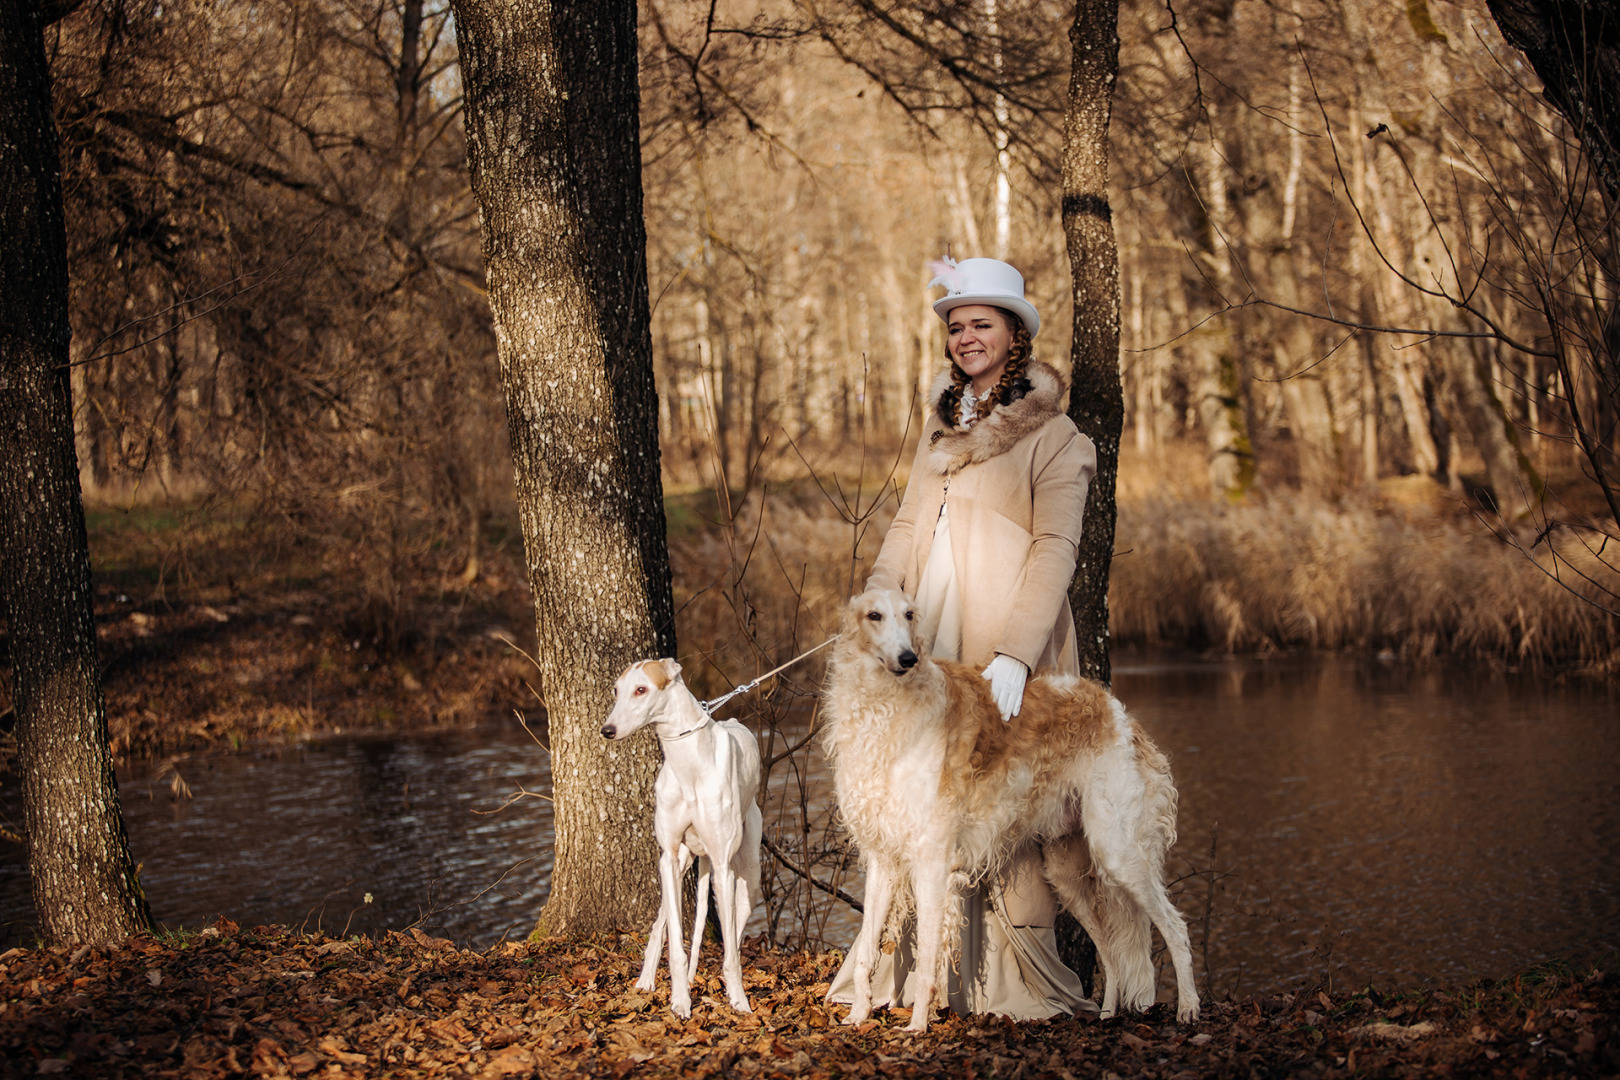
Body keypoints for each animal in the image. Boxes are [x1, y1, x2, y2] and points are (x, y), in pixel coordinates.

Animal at [602, 660, 764, 1023]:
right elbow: (675, 942)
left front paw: (739, 1002)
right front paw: (680, 1000)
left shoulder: (722, 864)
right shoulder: (670, 855)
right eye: (616, 690)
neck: (689, 761)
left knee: (735, 929)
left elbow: (730, 952)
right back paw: (647, 980)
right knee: (662, 921)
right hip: (680, 864)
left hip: (746, 875)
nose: (607, 730)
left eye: (642, 689)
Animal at [829, 586, 1198, 1036]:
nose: (908, 658)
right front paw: (858, 1013)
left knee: (1175, 927)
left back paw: (1189, 1008)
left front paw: (917, 1026)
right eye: (874, 615)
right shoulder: (883, 859)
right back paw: (1108, 1013)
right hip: (1065, 870)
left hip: (1117, 851)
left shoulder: (931, 860)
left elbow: (929, 954)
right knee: (1111, 953)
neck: (885, 710)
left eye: (910, 615)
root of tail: (1117, 711)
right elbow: (867, 948)